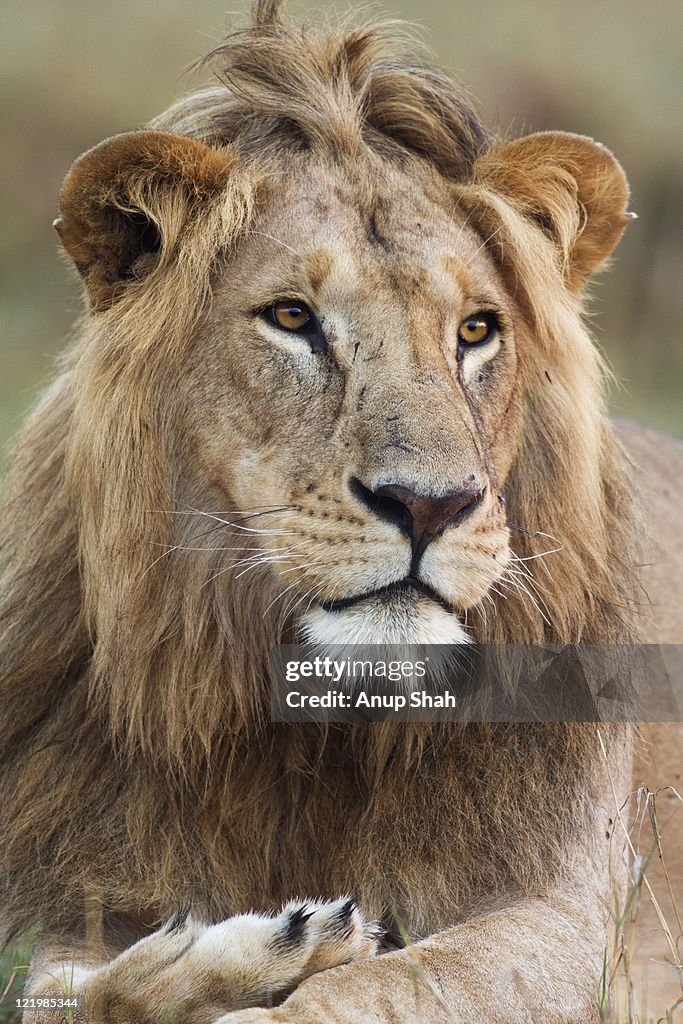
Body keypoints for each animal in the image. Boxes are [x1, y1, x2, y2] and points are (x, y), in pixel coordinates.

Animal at [1, 2, 683, 1024]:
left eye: (476, 330)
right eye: (291, 317)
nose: (428, 505)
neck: (306, 727)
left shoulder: (576, 933)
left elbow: (372, 990)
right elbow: (57, 988)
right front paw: (218, 955)